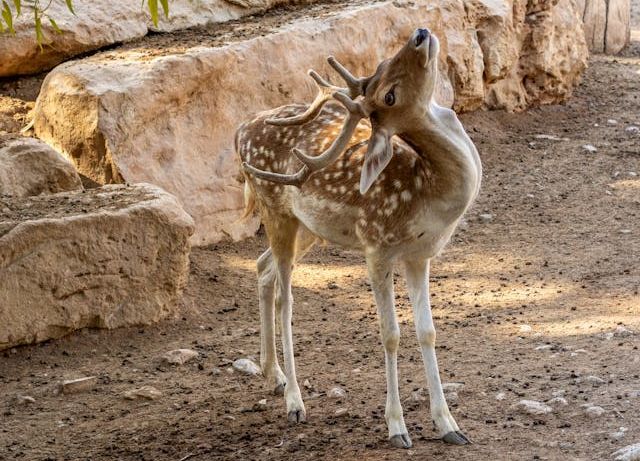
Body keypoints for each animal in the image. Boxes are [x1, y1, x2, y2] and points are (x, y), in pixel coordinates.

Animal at [234, 27, 480, 448]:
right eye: (389, 95)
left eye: (382, 64)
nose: (420, 34)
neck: (427, 194)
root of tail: (239, 131)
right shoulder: (376, 246)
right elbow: (390, 333)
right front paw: (397, 427)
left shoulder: (420, 255)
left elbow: (427, 331)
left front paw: (449, 424)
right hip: (275, 210)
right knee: (285, 297)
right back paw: (295, 401)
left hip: (307, 228)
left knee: (262, 266)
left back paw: (273, 375)